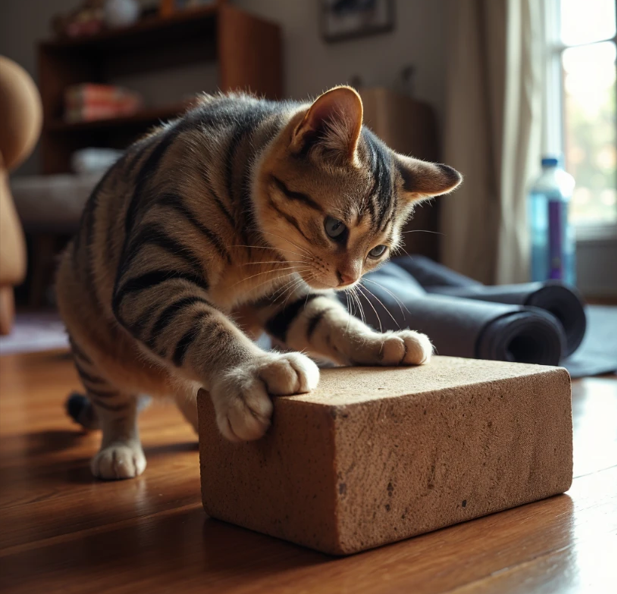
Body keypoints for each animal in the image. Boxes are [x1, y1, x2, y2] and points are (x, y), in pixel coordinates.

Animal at [55, 86, 462, 476]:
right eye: (335, 228)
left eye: (377, 250)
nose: (348, 278)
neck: (258, 253)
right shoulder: (152, 278)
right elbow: (204, 327)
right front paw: (249, 372)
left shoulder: (285, 297)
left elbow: (332, 323)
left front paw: (379, 342)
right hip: (87, 336)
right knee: (116, 407)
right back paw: (118, 450)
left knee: (185, 389)